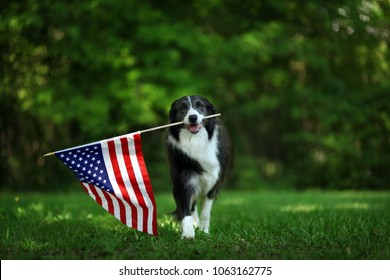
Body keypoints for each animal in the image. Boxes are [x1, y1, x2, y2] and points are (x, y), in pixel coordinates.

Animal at [166, 95, 230, 238]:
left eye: (200, 105)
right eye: (182, 107)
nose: (193, 117)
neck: (196, 141)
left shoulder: (213, 182)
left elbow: (206, 211)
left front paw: (204, 231)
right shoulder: (183, 181)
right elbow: (186, 210)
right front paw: (188, 233)